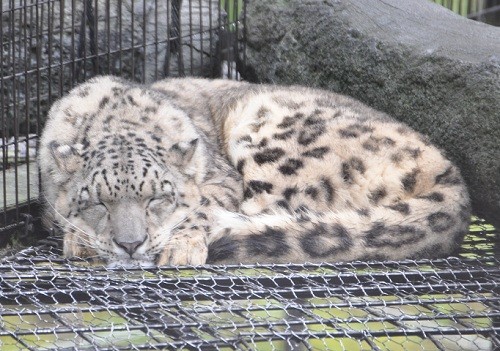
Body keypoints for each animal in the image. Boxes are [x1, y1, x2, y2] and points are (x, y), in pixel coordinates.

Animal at [38, 76, 468, 266]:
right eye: (98, 203)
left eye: (157, 198)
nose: (130, 244)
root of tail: (450, 170)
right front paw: (80, 239)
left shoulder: (221, 178)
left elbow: (201, 206)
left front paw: (182, 247)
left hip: (272, 141)